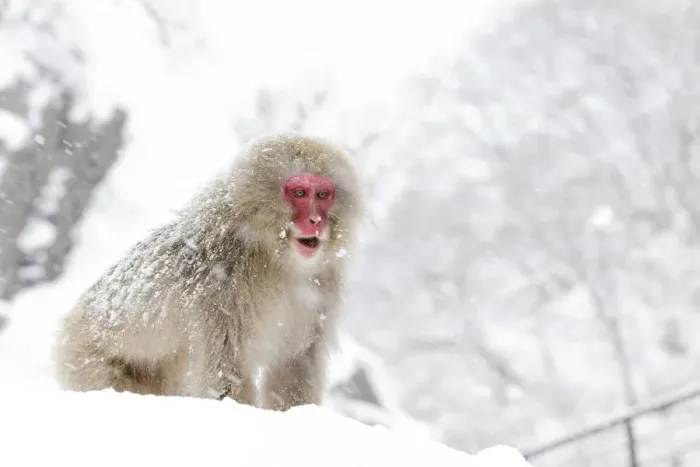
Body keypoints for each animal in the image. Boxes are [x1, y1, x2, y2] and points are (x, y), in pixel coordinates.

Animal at [53, 132, 364, 411]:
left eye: (322, 194)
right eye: (300, 193)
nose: (315, 221)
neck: (274, 257)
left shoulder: (323, 282)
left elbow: (294, 364)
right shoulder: (221, 283)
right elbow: (225, 372)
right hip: (86, 360)